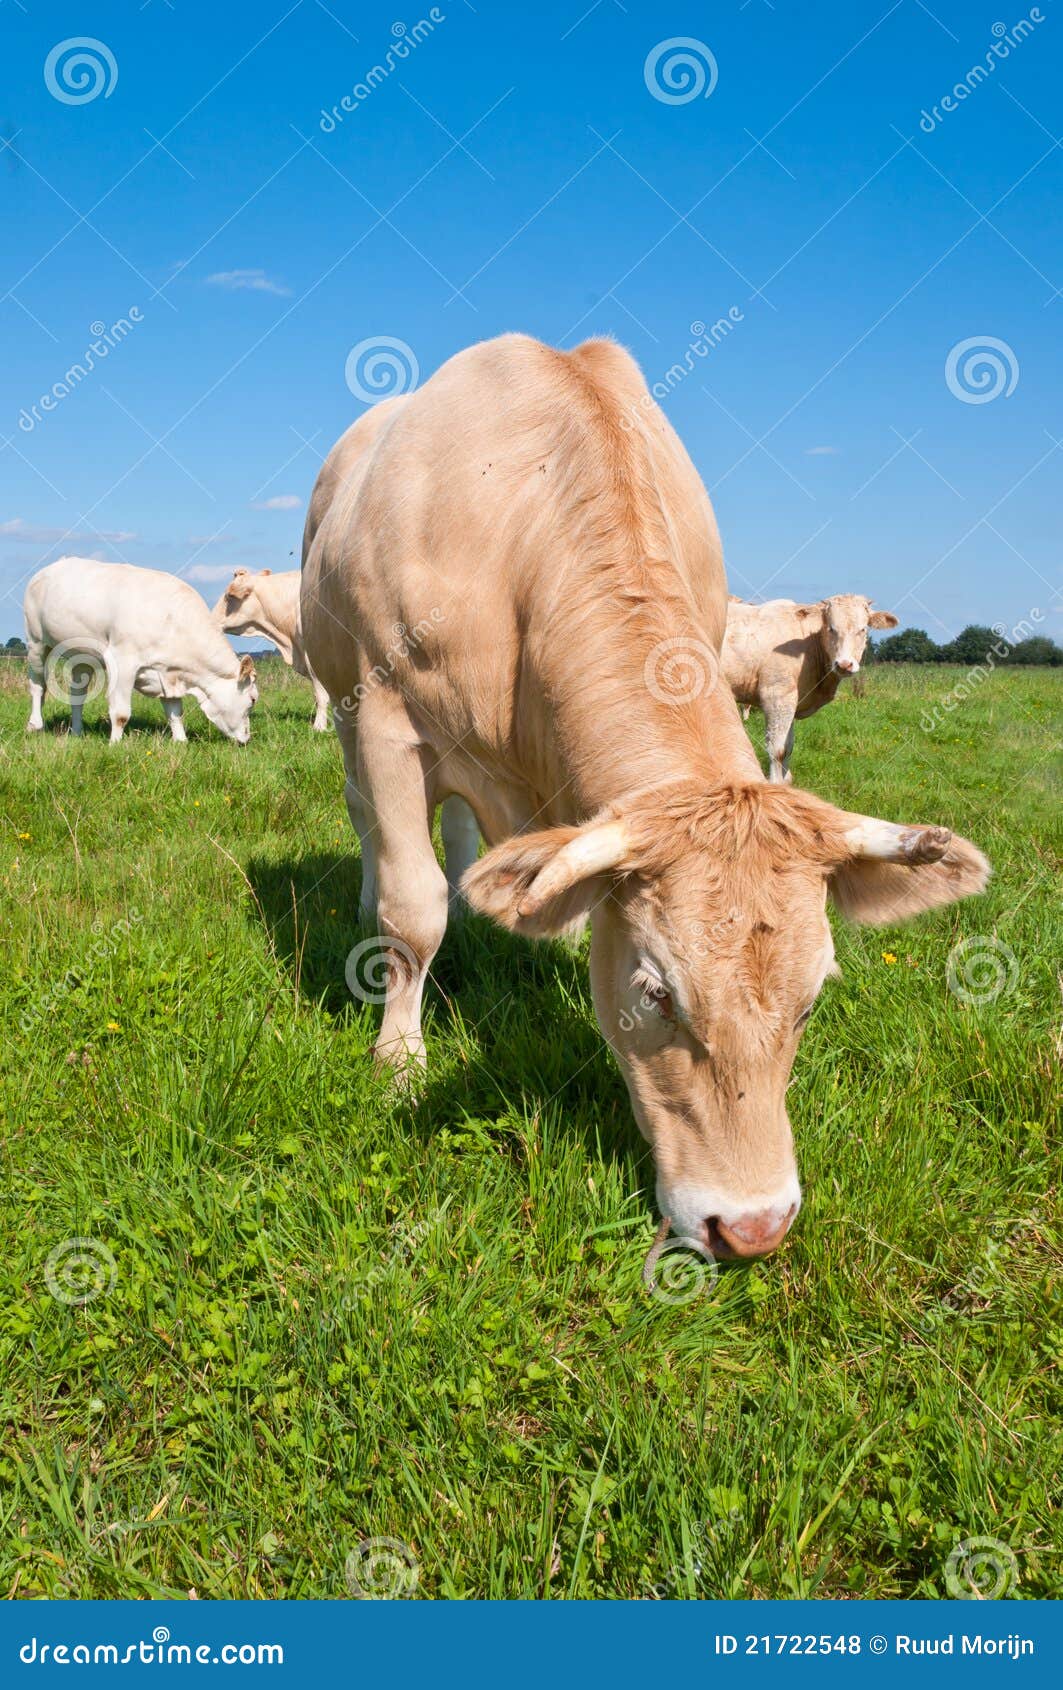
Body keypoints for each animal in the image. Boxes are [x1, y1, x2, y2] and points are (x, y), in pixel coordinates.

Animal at [25, 557, 258, 743]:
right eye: (253, 699)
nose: (247, 738)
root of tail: (51, 567)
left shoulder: (168, 671)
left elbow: (175, 710)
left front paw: (181, 741)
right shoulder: (122, 660)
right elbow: (121, 713)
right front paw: (115, 744)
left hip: (81, 656)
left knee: (77, 694)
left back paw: (77, 732)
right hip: (36, 642)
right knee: (37, 685)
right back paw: (35, 725)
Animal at [719, 594, 892, 784]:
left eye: (862, 630)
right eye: (831, 629)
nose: (844, 664)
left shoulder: (792, 701)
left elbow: (788, 746)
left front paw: (786, 781)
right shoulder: (777, 696)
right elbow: (778, 749)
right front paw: (776, 783)